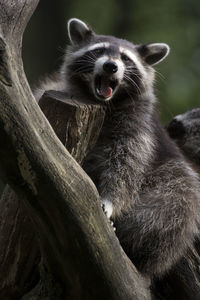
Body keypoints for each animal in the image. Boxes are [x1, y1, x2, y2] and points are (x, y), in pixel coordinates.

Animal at [36, 17, 200, 278]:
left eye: (125, 58)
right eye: (99, 51)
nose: (111, 66)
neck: (105, 103)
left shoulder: (139, 128)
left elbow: (126, 166)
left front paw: (110, 201)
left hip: (170, 178)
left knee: (179, 200)